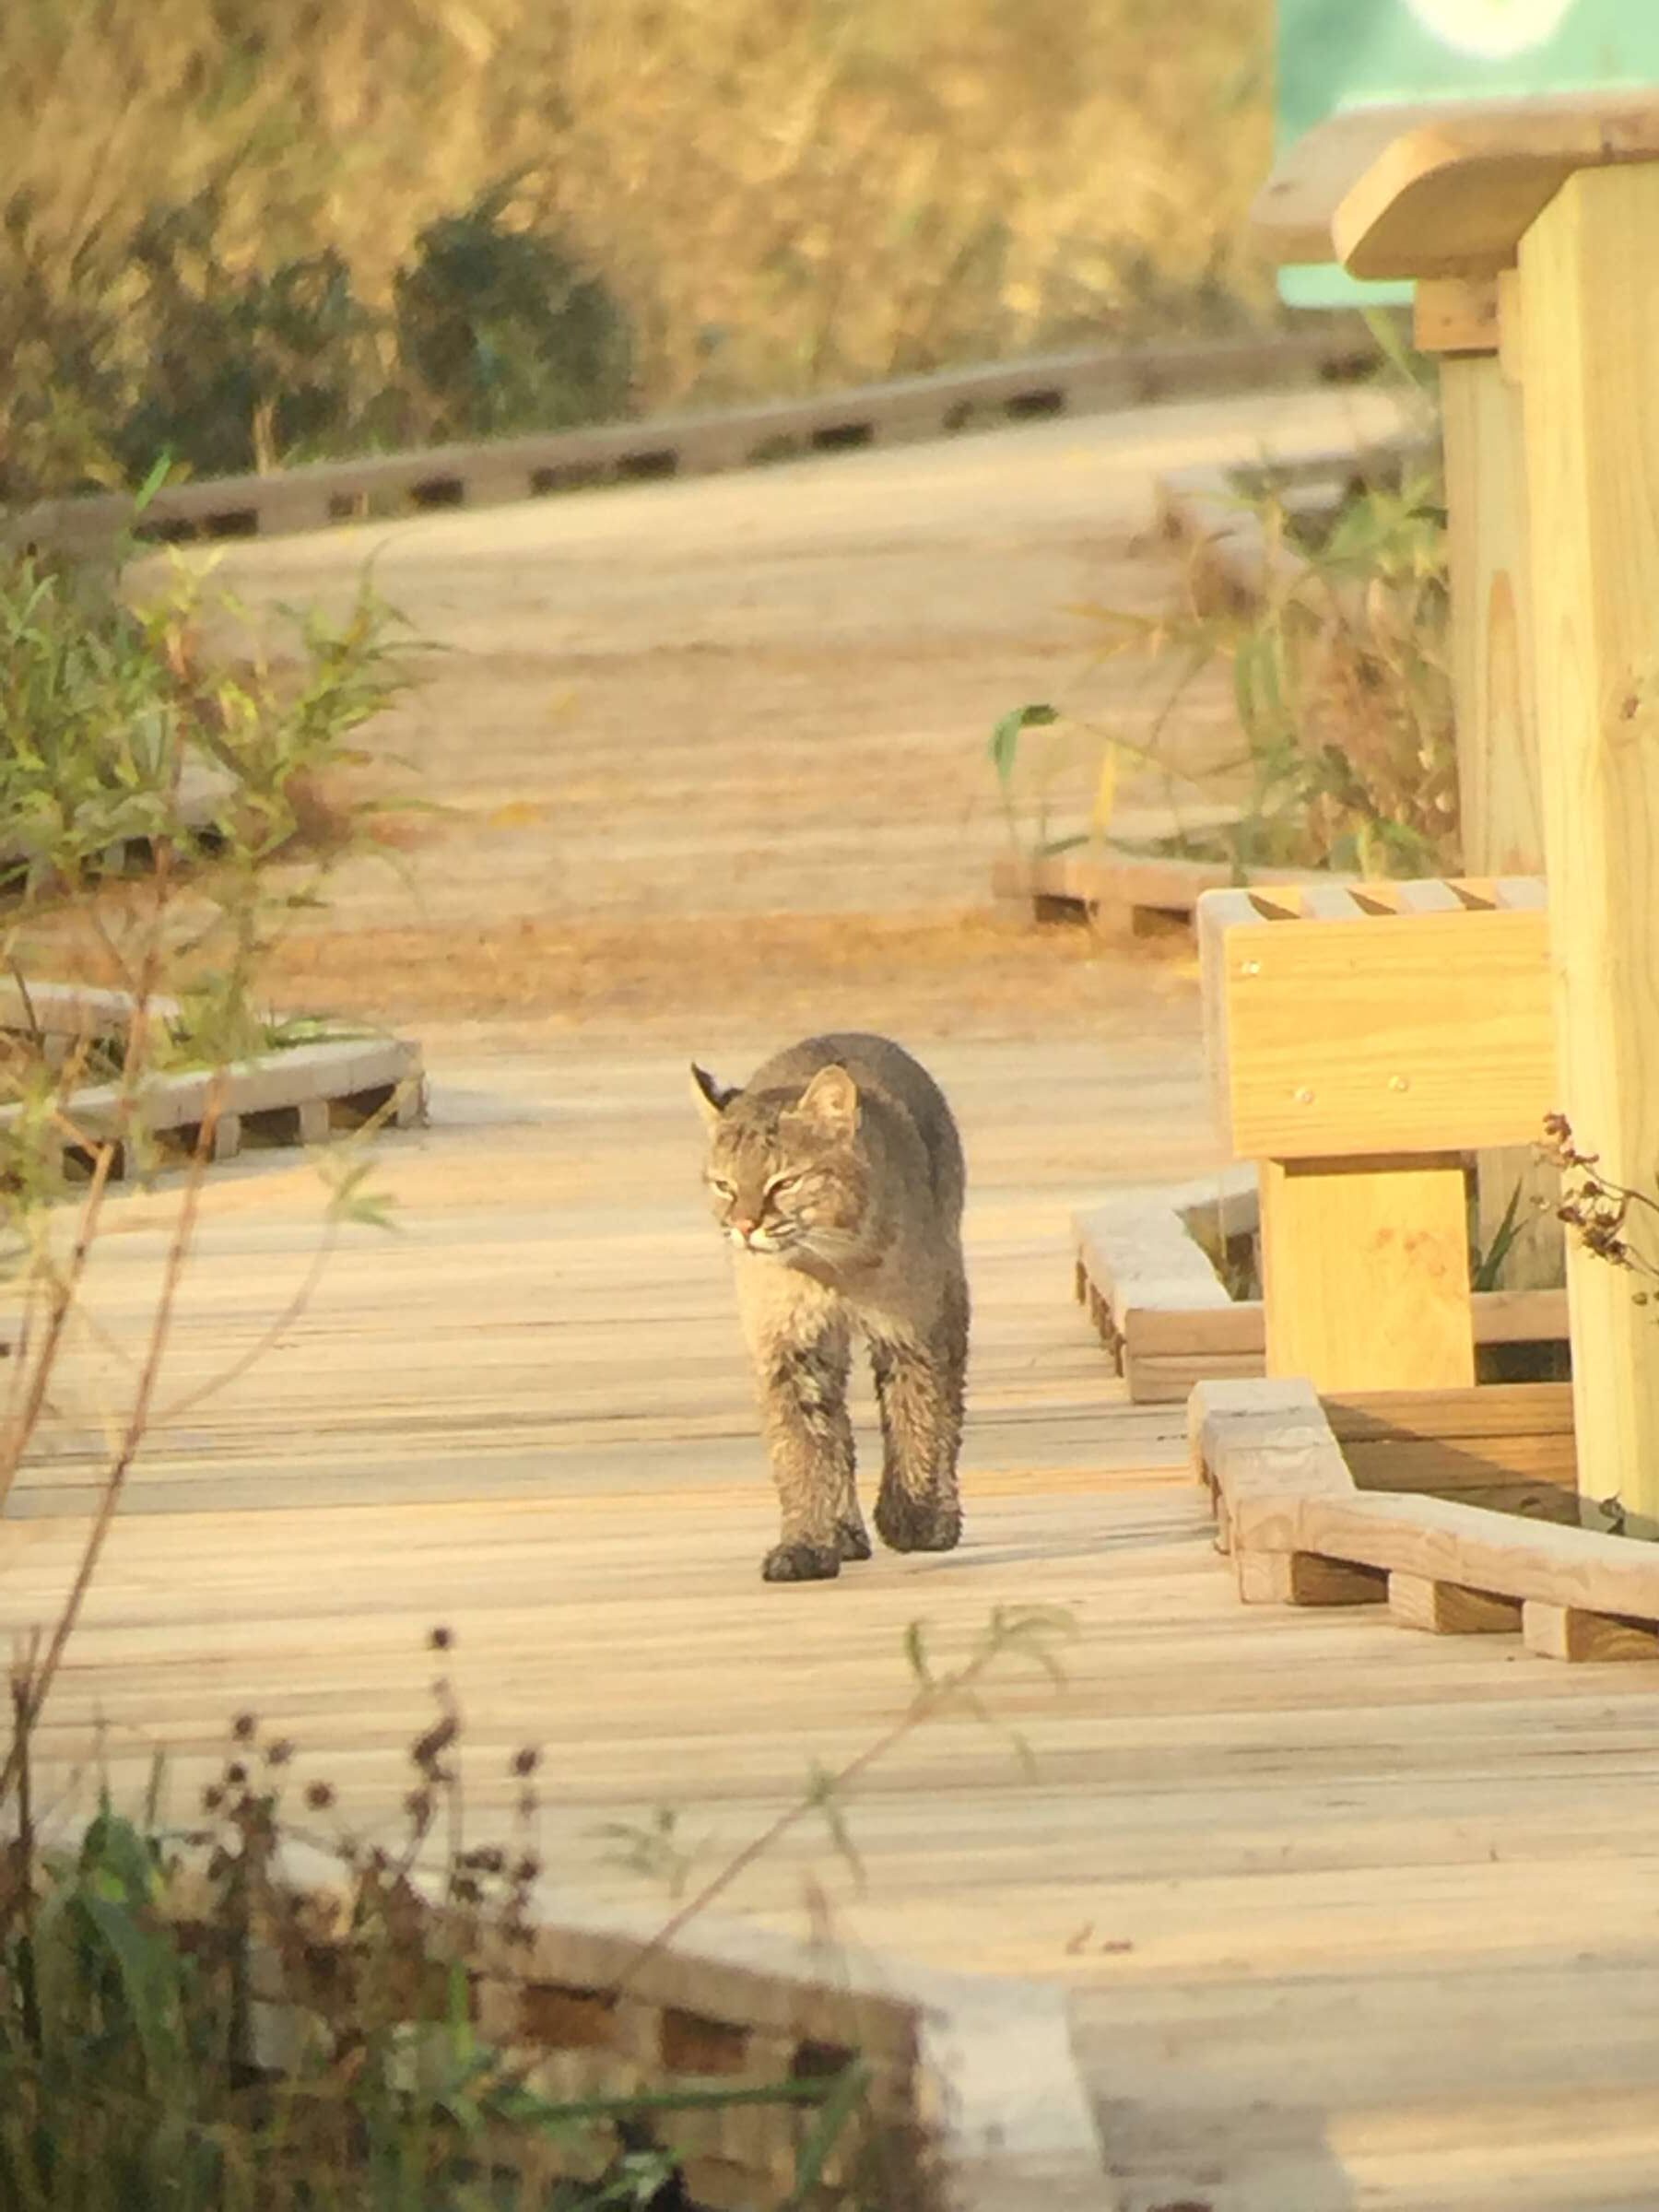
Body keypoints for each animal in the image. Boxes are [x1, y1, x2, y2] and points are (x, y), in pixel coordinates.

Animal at [691, 1032, 969, 1583]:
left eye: (783, 1184)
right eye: (724, 1186)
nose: (745, 1227)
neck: (829, 1263)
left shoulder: (911, 1328)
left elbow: (917, 1416)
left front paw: (910, 1515)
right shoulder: (788, 1344)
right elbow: (801, 1442)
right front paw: (807, 1542)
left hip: (950, 1282)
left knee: (950, 1401)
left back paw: (939, 1514)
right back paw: (844, 1531)